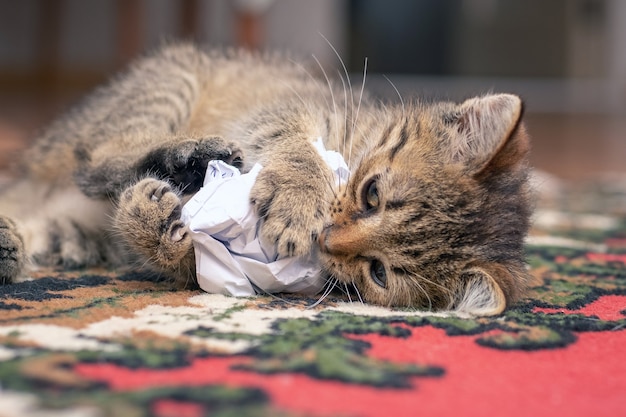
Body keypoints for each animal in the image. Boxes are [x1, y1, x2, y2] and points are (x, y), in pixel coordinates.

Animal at [0, 43, 528, 316]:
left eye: (379, 272)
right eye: (373, 193)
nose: (327, 238)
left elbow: (187, 261)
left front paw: (157, 228)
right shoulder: (287, 108)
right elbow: (296, 142)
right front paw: (298, 197)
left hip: (78, 233)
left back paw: (10, 245)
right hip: (168, 83)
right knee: (95, 162)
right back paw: (188, 156)